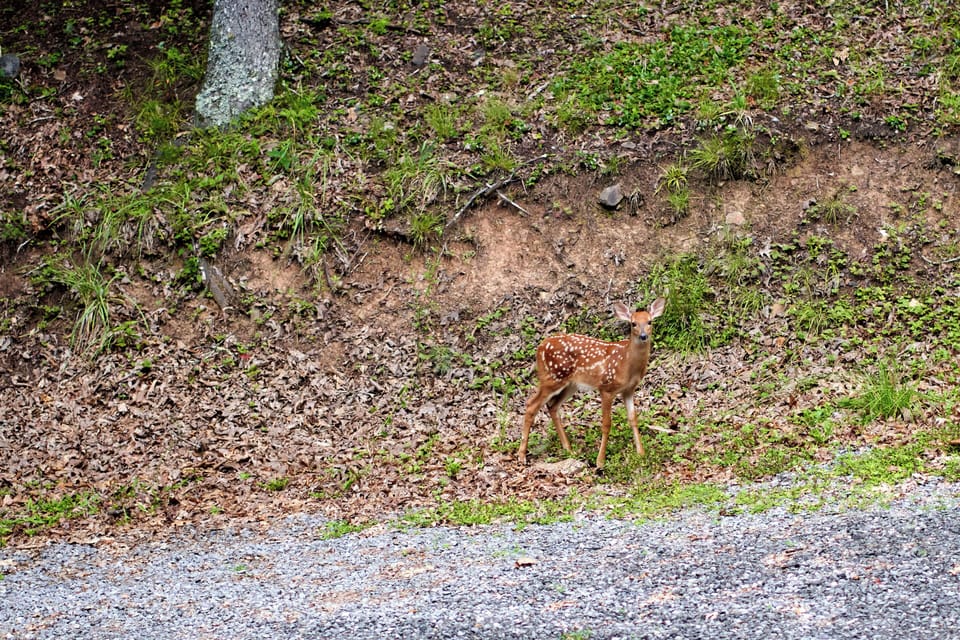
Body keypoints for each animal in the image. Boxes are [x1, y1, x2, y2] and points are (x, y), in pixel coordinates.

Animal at [519, 297, 666, 470]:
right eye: (633, 323)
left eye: (650, 321)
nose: (643, 336)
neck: (627, 363)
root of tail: (540, 348)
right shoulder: (606, 387)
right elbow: (606, 424)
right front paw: (600, 461)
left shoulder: (628, 390)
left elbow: (633, 419)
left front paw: (641, 454)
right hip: (551, 378)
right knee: (531, 405)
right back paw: (522, 455)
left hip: (570, 384)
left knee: (552, 406)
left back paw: (568, 448)